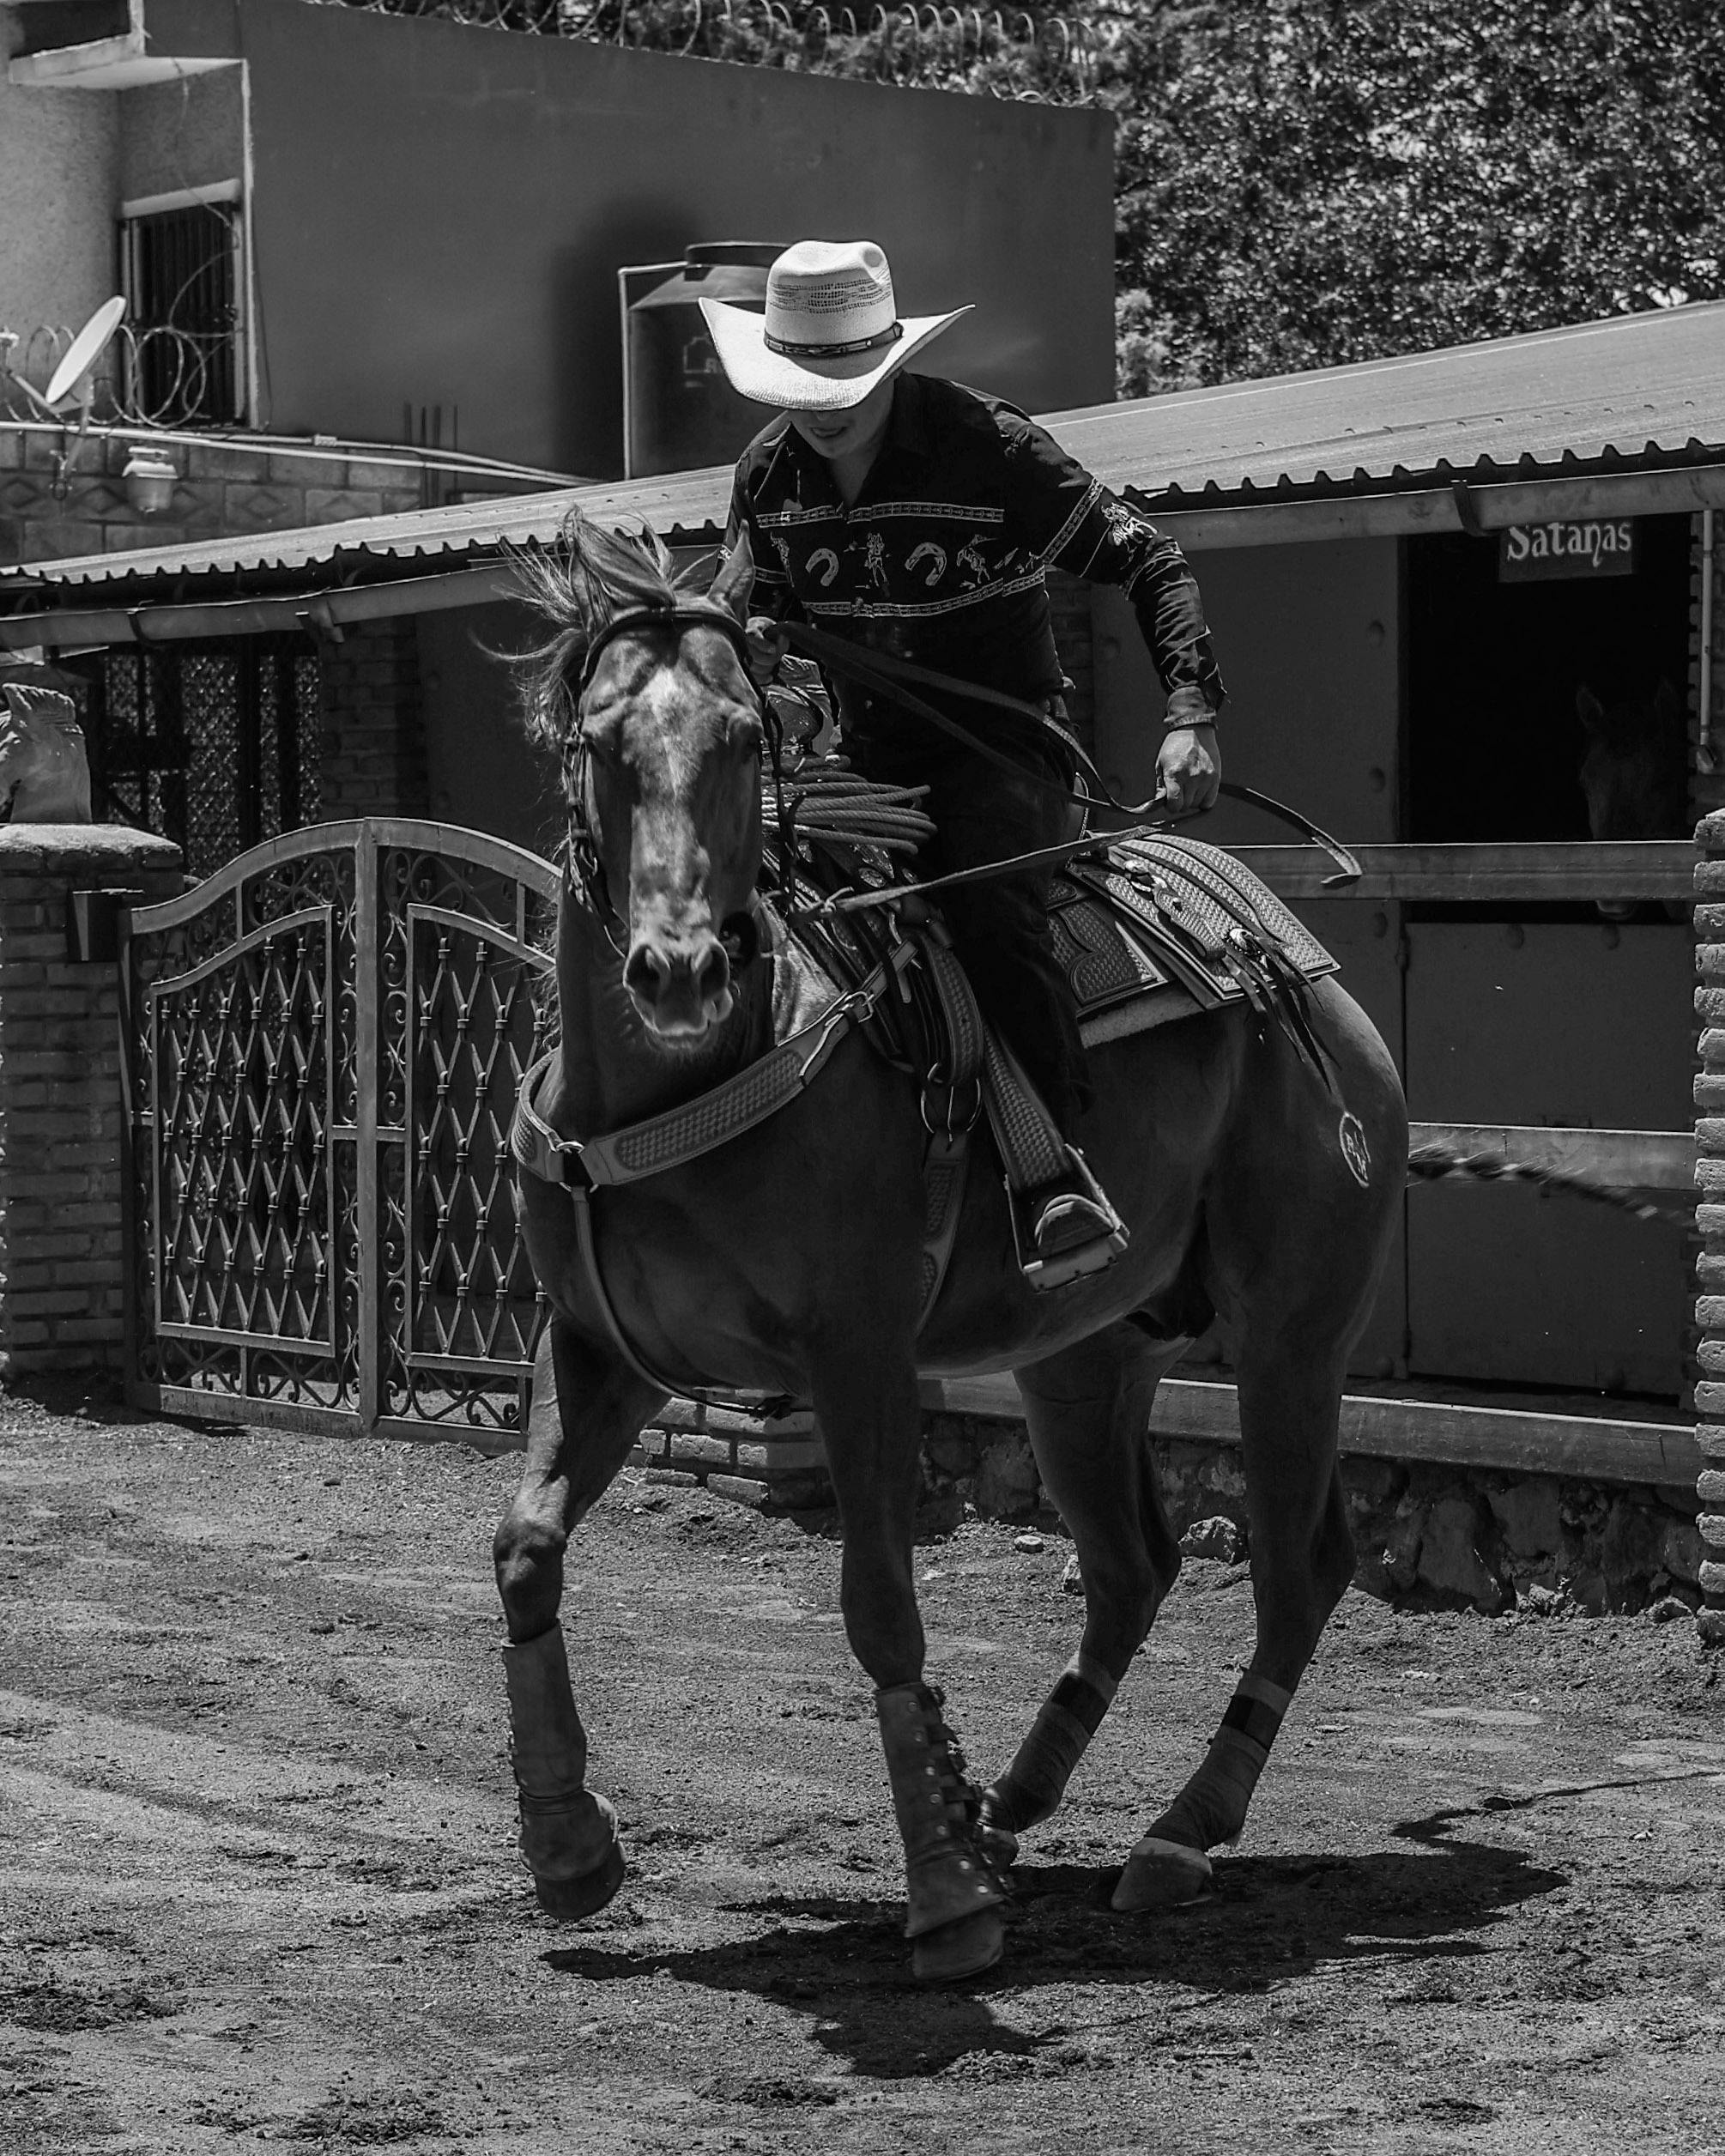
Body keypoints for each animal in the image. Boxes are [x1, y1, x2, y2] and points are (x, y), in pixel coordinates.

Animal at [491, 518, 1408, 1982]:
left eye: (744, 735)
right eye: (599, 739)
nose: (678, 970)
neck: (687, 1080)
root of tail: (1296, 963)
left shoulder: (857, 1351)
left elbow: (877, 1599)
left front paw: (943, 1893)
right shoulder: (594, 1345)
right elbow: (523, 1544)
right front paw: (569, 1845)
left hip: (1291, 1337)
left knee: (1295, 1572)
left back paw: (1176, 1833)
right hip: (1080, 1359)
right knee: (1131, 1565)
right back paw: (1014, 1799)